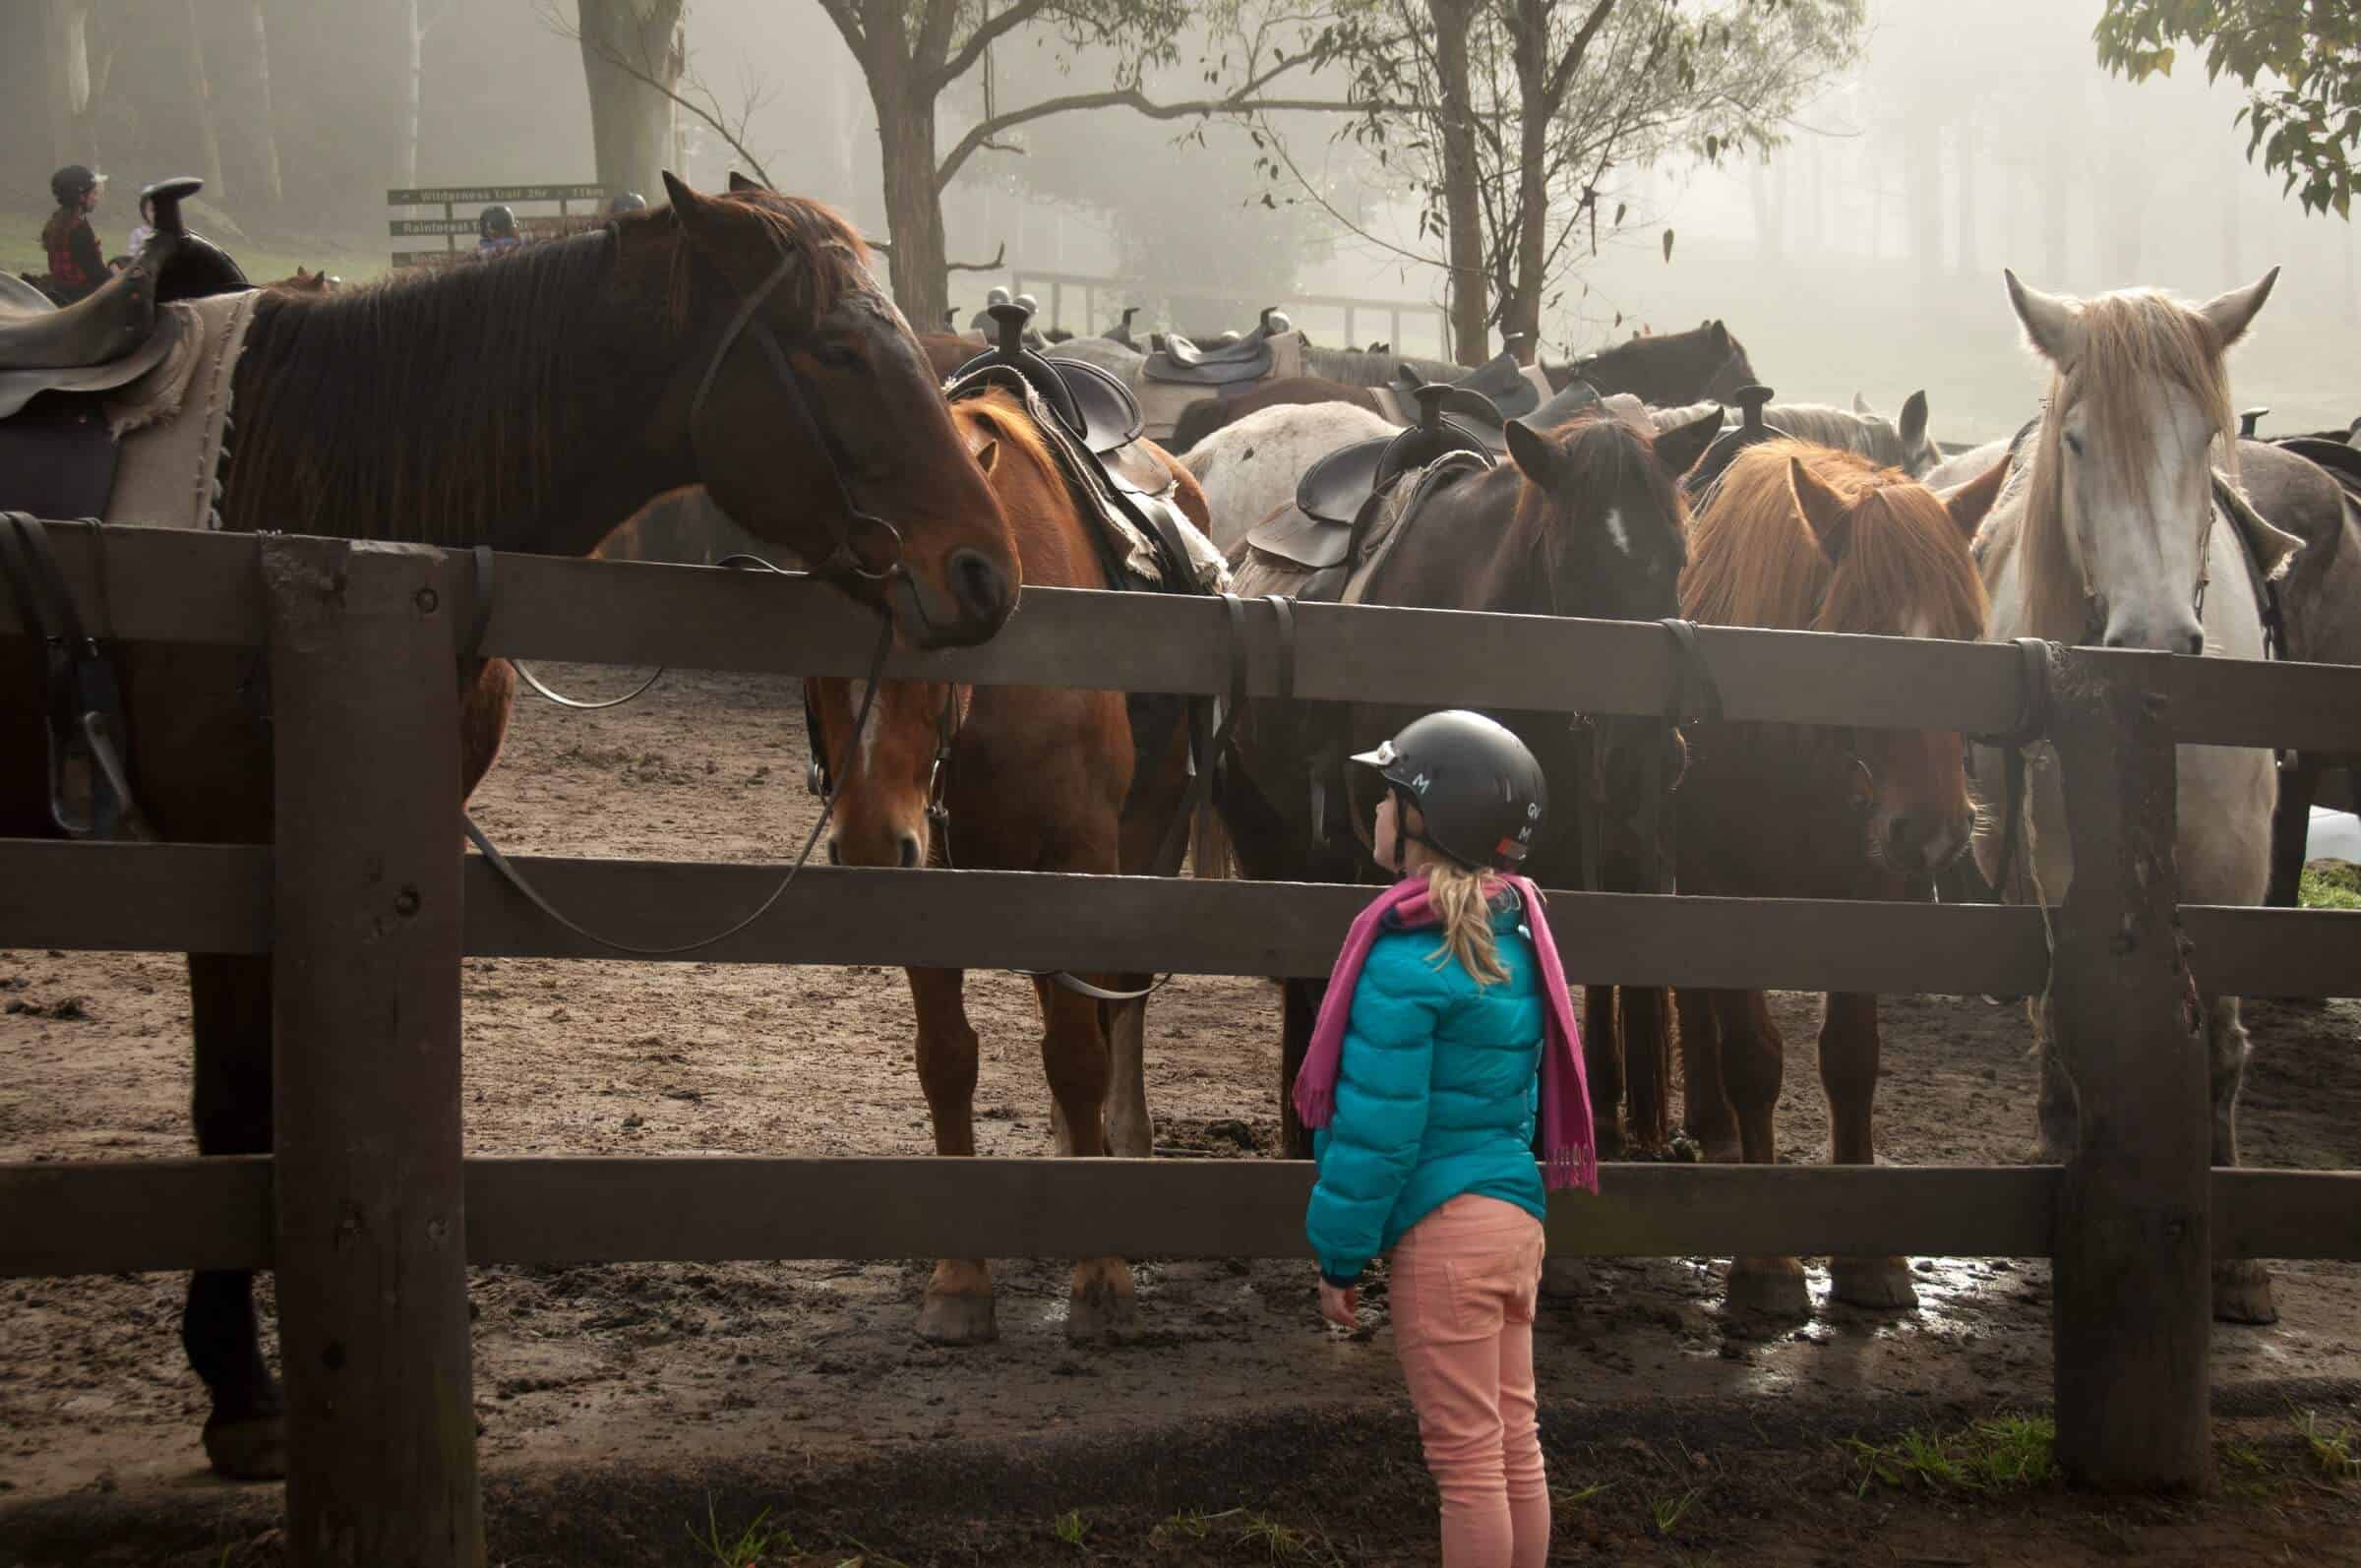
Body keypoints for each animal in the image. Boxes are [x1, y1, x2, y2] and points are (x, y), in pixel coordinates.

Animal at [9, 177, 1024, 1473]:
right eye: (838, 350)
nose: (986, 573)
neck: (307, 507)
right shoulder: (228, 858)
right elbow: (233, 1110)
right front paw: (239, 1390)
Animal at [807, 382, 1208, 1351]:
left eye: (942, 631)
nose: (869, 845)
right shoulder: (936, 878)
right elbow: (948, 1060)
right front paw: (960, 1280)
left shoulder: (1079, 861)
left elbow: (1078, 1054)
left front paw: (1101, 1275)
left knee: (1119, 1007)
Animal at [1671, 437, 2002, 1312]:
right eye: (1861, 635)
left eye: (1970, 632)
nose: (1933, 830)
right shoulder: (1725, 892)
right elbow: (1754, 1059)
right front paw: (1766, 1264)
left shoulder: (1873, 896)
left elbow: (1852, 1059)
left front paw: (1868, 1258)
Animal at [1964, 269, 2294, 1322]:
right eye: (2077, 441)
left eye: (2203, 435)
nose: (2154, 635)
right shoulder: (2068, 862)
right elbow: (2072, 1013)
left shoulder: (2236, 869)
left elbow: (2221, 1043)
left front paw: (2238, 1264)